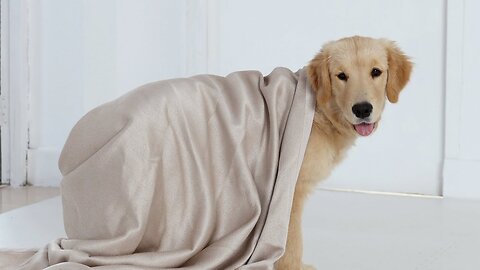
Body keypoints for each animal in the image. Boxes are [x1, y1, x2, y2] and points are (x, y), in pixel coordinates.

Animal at [276, 35, 414, 268]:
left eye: (376, 72)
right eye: (341, 76)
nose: (362, 109)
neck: (321, 113)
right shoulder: (291, 189)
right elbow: (291, 244)